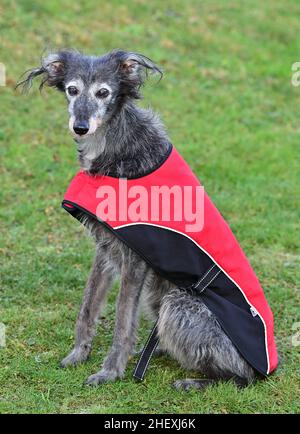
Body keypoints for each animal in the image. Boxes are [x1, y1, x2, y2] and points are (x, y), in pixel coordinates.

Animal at [18, 50, 260, 390]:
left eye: (103, 92)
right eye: (72, 90)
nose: (80, 127)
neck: (114, 145)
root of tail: (267, 365)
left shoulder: (134, 261)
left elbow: (122, 320)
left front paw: (110, 371)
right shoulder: (106, 249)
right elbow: (88, 306)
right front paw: (79, 353)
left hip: (178, 304)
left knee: (240, 377)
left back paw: (195, 381)